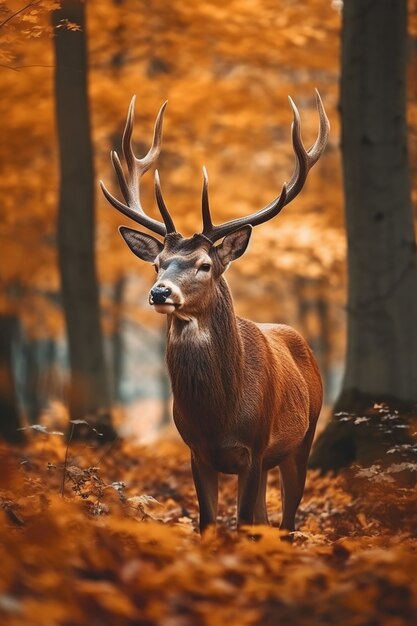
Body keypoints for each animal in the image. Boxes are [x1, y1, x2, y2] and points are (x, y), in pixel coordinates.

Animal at [101, 92, 328, 532]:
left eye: (205, 265)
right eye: (158, 264)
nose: (159, 292)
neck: (217, 417)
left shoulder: (254, 447)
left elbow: (242, 522)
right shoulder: (195, 450)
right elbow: (209, 521)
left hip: (304, 437)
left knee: (288, 519)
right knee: (266, 520)